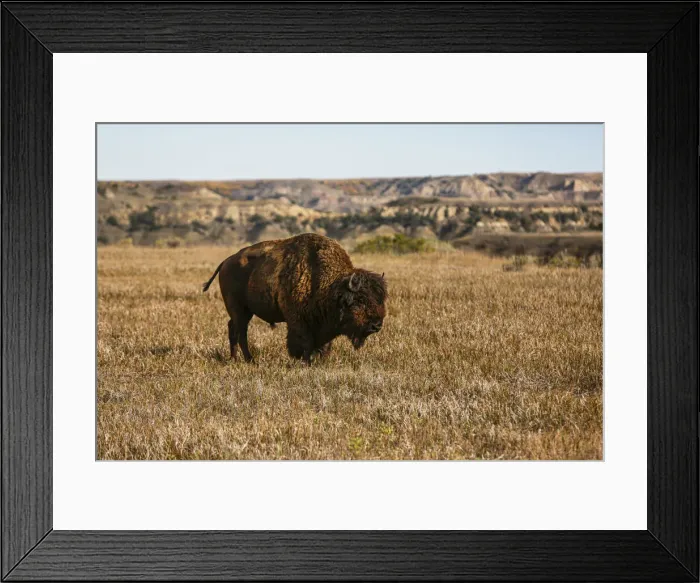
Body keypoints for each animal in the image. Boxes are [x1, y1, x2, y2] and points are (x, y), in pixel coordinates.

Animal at [202, 233, 387, 363]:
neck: (329, 285)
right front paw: (304, 362)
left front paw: (322, 361)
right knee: (240, 332)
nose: (376, 325)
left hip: (245, 311)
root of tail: (226, 261)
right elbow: (305, 342)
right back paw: (249, 360)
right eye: (360, 300)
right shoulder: (298, 321)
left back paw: (235, 359)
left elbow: (324, 345)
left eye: (380, 299)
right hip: (239, 310)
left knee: (234, 329)